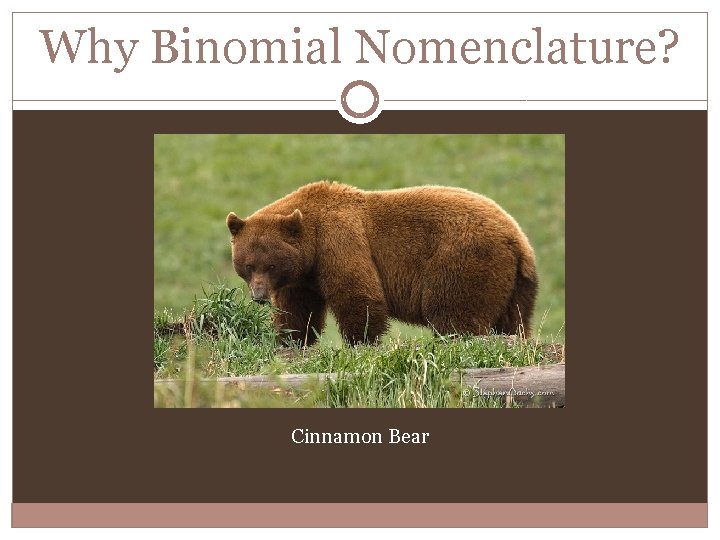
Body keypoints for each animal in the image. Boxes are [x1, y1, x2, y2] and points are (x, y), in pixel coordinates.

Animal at [226, 181, 538, 347]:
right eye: (248, 266)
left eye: (270, 265)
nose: (259, 295)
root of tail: (517, 241)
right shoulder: (302, 278)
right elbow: (297, 310)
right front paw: (290, 339)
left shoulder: (339, 242)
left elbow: (358, 295)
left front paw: (361, 340)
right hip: (513, 285)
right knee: (514, 321)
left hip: (463, 262)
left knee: (455, 315)